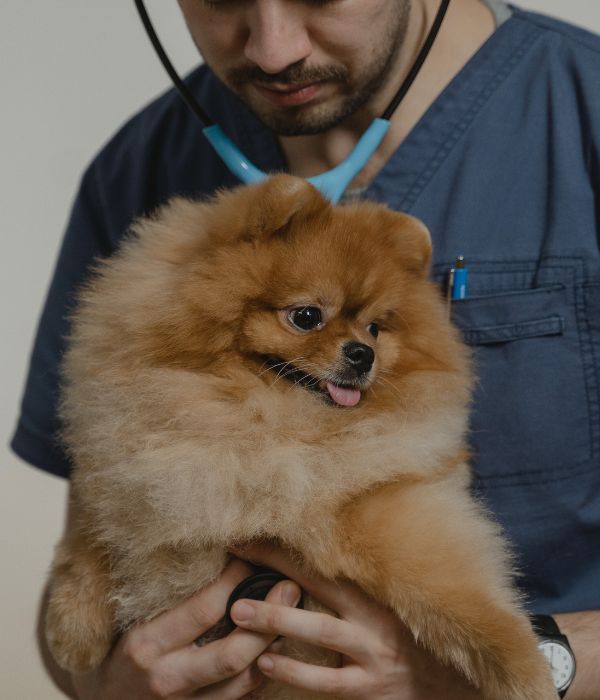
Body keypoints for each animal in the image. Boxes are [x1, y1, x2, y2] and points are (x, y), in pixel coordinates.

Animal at [45, 176, 552, 700]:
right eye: (307, 316)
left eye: (376, 327)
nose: (363, 353)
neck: (265, 425)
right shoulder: (129, 477)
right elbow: (90, 538)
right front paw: (72, 631)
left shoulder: (376, 501)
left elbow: (445, 584)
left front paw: (526, 671)